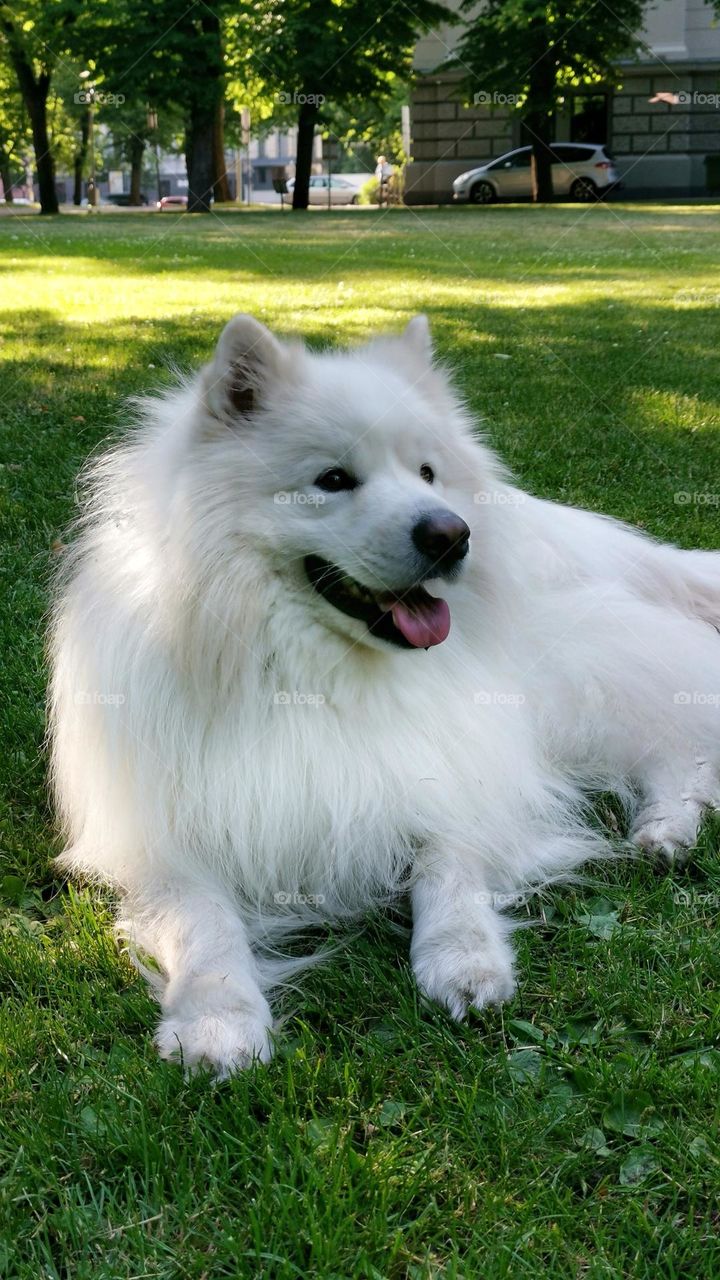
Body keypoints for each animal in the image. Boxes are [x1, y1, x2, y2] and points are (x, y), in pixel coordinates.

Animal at [50, 314, 717, 1075]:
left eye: (426, 473)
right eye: (332, 480)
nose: (451, 532)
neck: (316, 679)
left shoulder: (456, 772)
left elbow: (450, 866)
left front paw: (464, 958)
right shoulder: (163, 837)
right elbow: (204, 922)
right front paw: (216, 1019)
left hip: (574, 685)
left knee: (684, 736)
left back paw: (665, 827)